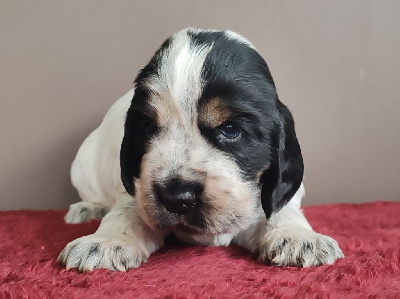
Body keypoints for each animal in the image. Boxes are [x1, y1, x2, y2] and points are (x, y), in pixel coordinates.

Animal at [58, 28, 344, 272]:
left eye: (230, 129)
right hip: (81, 165)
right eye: (148, 127)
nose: (177, 197)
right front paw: (104, 243)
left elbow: (282, 211)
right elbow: (127, 212)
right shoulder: (134, 190)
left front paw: (300, 238)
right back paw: (86, 210)